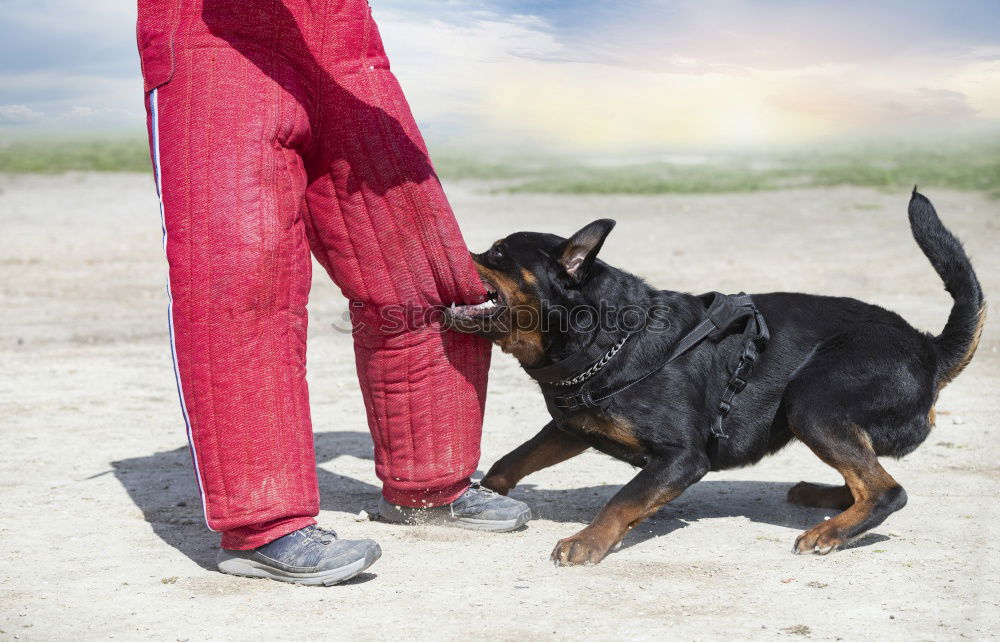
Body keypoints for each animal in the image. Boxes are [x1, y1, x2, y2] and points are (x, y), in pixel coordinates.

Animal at [446, 191, 984, 564]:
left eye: (497, 253)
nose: (455, 250)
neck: (607, 337)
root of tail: (929, 347)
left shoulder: (682, 457)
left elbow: (623, 500)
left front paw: (587, 541)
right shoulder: (569, 428)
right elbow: (512, 460)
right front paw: (485, 492)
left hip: (811, 401)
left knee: (886, 490)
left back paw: (830, 530)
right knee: (866, 477)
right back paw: (824, 499)